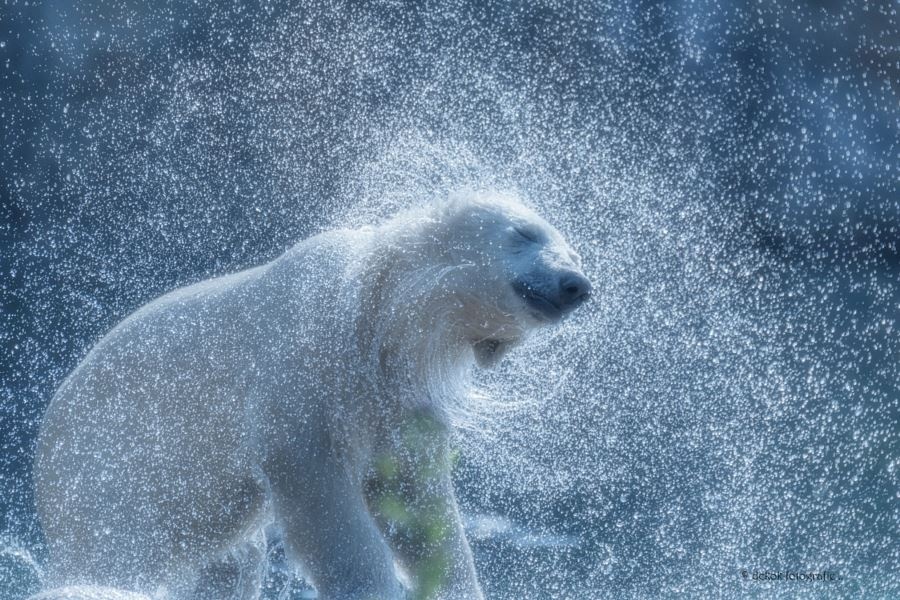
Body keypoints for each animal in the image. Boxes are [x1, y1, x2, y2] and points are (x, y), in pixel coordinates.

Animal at [35, 193, 596, 600]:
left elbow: (415, 499)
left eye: (574, 251)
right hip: (110, 468)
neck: (374, 314)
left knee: (232, 562)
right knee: (119, 549)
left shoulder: (396, 397)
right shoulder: (305, 365)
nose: (576, 284)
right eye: (524, 232)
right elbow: (321, 496)